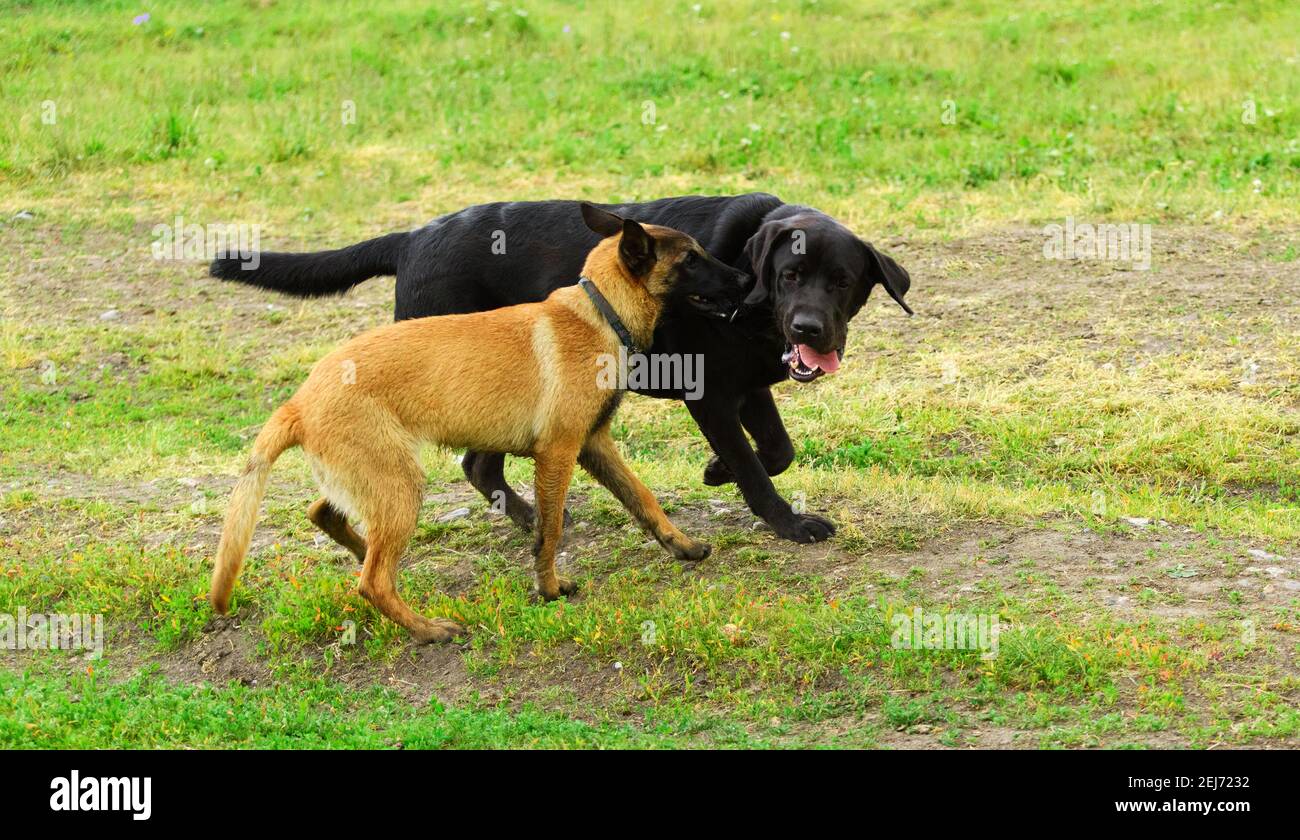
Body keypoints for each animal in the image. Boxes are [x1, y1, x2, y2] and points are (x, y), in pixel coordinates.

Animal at [208, 192, 909, 546]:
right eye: (790, 275)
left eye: (841, 281)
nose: (809, 329)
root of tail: (409, 237)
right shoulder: (709, 391)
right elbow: (755, 470)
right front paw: (787, 523)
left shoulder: (751, 385)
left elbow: (778, 449)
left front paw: (717, 471)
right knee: (475, 463)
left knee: (478, 464)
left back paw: (528, 519)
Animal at [213, 205, 754, 644]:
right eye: (692, 259)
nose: (745, 281)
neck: (599, 314)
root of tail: (299, 401)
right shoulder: (559, 451)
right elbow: (551, 529)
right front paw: (548, 587)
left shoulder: (593, 443)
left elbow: (642, 498)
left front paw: (681, 545)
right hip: (399, 483)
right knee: (372, 582)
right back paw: (428, 629)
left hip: (373, 477)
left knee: (329, 518)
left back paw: (374, 557)